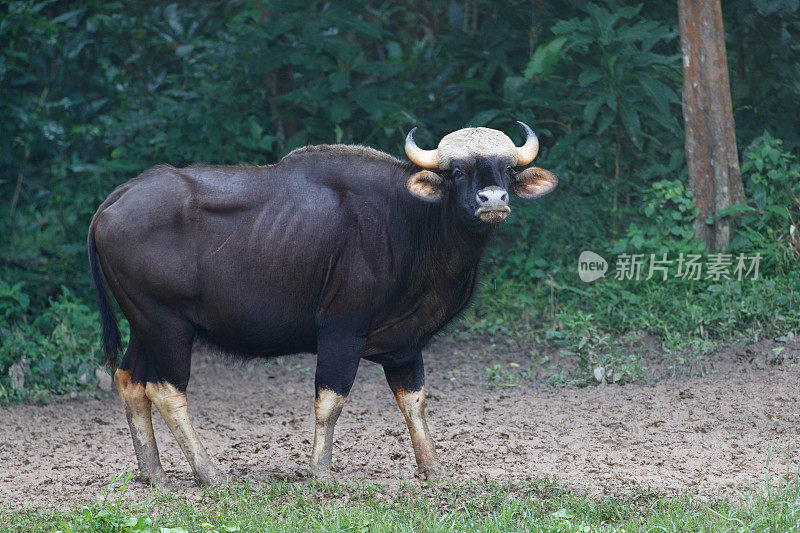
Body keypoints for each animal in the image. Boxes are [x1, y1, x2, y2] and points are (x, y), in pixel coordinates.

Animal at [89, 121, 556, 486]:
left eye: (508, 169)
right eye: (456, 171)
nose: (492, 200)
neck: (412, 222)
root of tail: (115, 200)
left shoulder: (404, 343)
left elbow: (414, 401)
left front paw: (432, 469)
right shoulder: (341, 330)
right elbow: (331, 400)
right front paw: (320, 471)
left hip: (143, 325)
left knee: (129, 380)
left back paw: (153, 472)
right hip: (167, 324)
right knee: (166, 389)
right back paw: (210, 473)